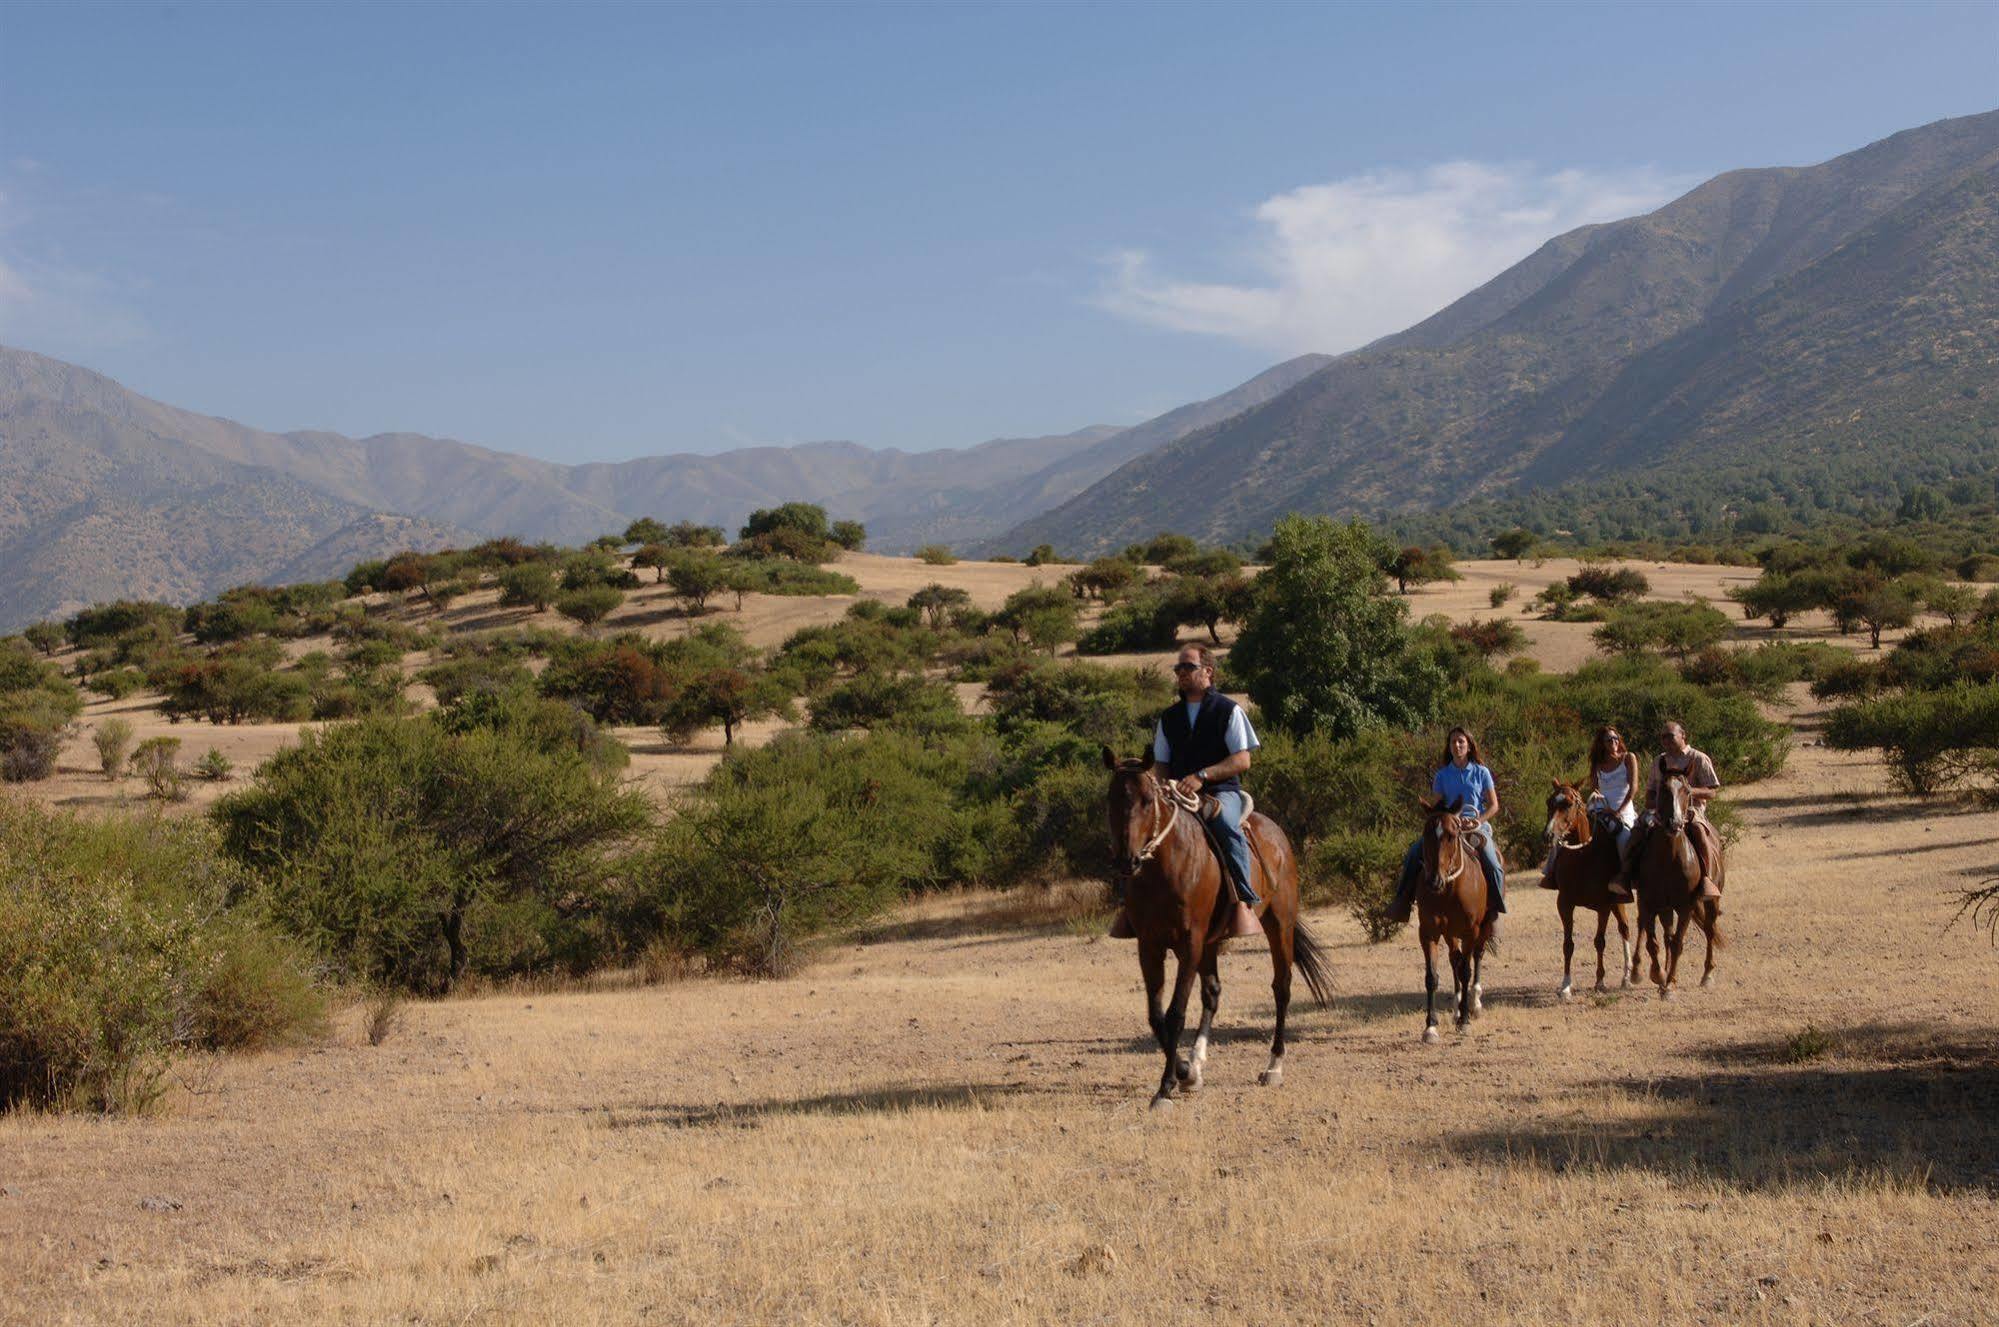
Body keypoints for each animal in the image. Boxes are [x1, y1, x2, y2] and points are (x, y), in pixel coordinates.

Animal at [1103, 747, 1335, 1111]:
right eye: (1111, 799)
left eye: (1146, 800)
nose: (1128, 861)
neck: (1166, 867)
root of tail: (1277, 834)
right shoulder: (1150, 945)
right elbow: (1156, 1016)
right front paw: (1185, 1071)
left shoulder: (1189, 944)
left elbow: (1175, 1013)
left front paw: (1166, 1086)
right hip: (1211, 943)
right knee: (1212, 992)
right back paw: (1197, 1064)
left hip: (1278, 924)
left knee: (1281, 987)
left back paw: (1273, 1065)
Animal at [1415, 799, 1495, 1047]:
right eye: (1426, 833)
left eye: (1451, 835)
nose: (1434, 880)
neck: (1449, 889)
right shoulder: (1428, 933)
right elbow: (1431, 977)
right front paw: (1430, 1027)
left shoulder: (1471, 931)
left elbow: (1467, 971)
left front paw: (1465, 1021)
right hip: (1450, 933)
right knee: (1454, 960)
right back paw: (1457, 1007)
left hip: (1484, 926)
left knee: (1475, 957)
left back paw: (1473, 1004)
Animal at [1543, 779, 1639, 995]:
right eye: (1549, 802)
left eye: (1569, 804)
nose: (1548, 835)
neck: (1583, 857)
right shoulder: (1564, 904)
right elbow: (1568, 944)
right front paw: (1566, 985)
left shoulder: (1603, 906)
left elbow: (1599, 941)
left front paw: (1600, 981)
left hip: (1617, 901)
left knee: (1625, 929)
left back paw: (1626, 977)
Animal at [1631, 771, 1727, 999]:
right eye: (1663, 789)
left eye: (1686, 790)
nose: (1674, 823)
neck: (1669, 858)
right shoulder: (1649, 902)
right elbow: (1653, 943)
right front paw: (1659, 976)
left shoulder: (1686, 906)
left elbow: (1677, 944)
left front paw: (1669, 984)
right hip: (1664, 908)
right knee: (1665, 935)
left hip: (1711, 902)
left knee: (1710, 929)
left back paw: (1707, 975)